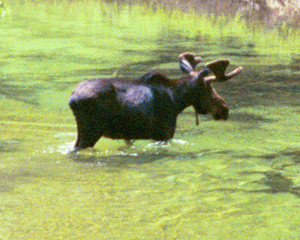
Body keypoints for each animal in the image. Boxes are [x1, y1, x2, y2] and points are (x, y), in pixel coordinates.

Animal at [68, 52, 241, 152]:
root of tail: (72, 100)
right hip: (91, 130)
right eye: (209, 88)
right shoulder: (164, 133)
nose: (225, 109)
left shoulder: (128, 136)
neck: (178, 100)